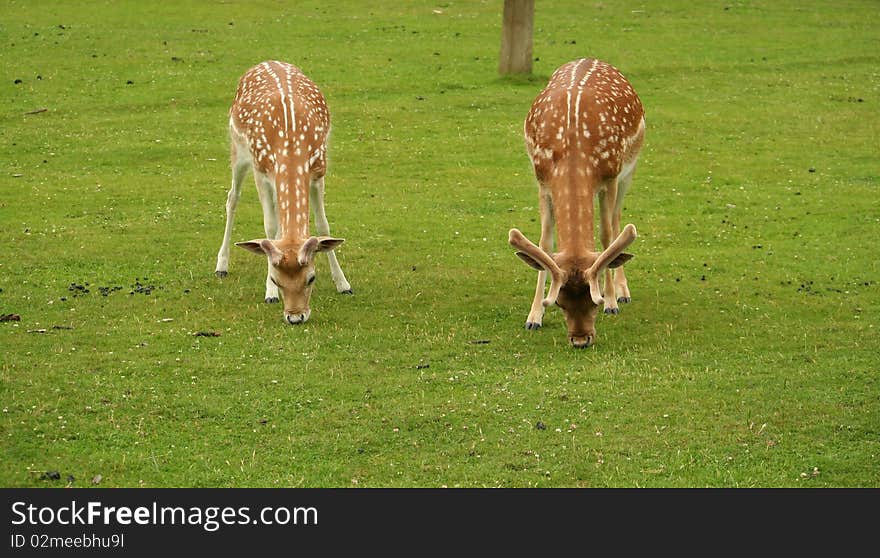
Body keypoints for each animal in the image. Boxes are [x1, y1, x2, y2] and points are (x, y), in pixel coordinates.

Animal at [215, 60, 352, 324]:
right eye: (276, 279)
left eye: (311, 277)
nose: (295, 317)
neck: (290, 144)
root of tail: (265, 62)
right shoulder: (261, 171)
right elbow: (269, 227)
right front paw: (269, 294)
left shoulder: (318, 170)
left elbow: (323, 226)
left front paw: (343, 283)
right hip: (238, 150)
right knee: (232, 198)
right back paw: (221, 266)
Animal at [508, 61, 648, 350]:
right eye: (559, 303)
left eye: (594, 302)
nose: (581, 339)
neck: (575, 152)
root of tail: (589, 58)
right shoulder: (542, 181)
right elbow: (544, 244)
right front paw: (534, 316)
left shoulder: (610, 177)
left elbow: (606, 236)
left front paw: (612, 302)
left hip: (629, 169)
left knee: (617, 219)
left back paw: (623, 292)